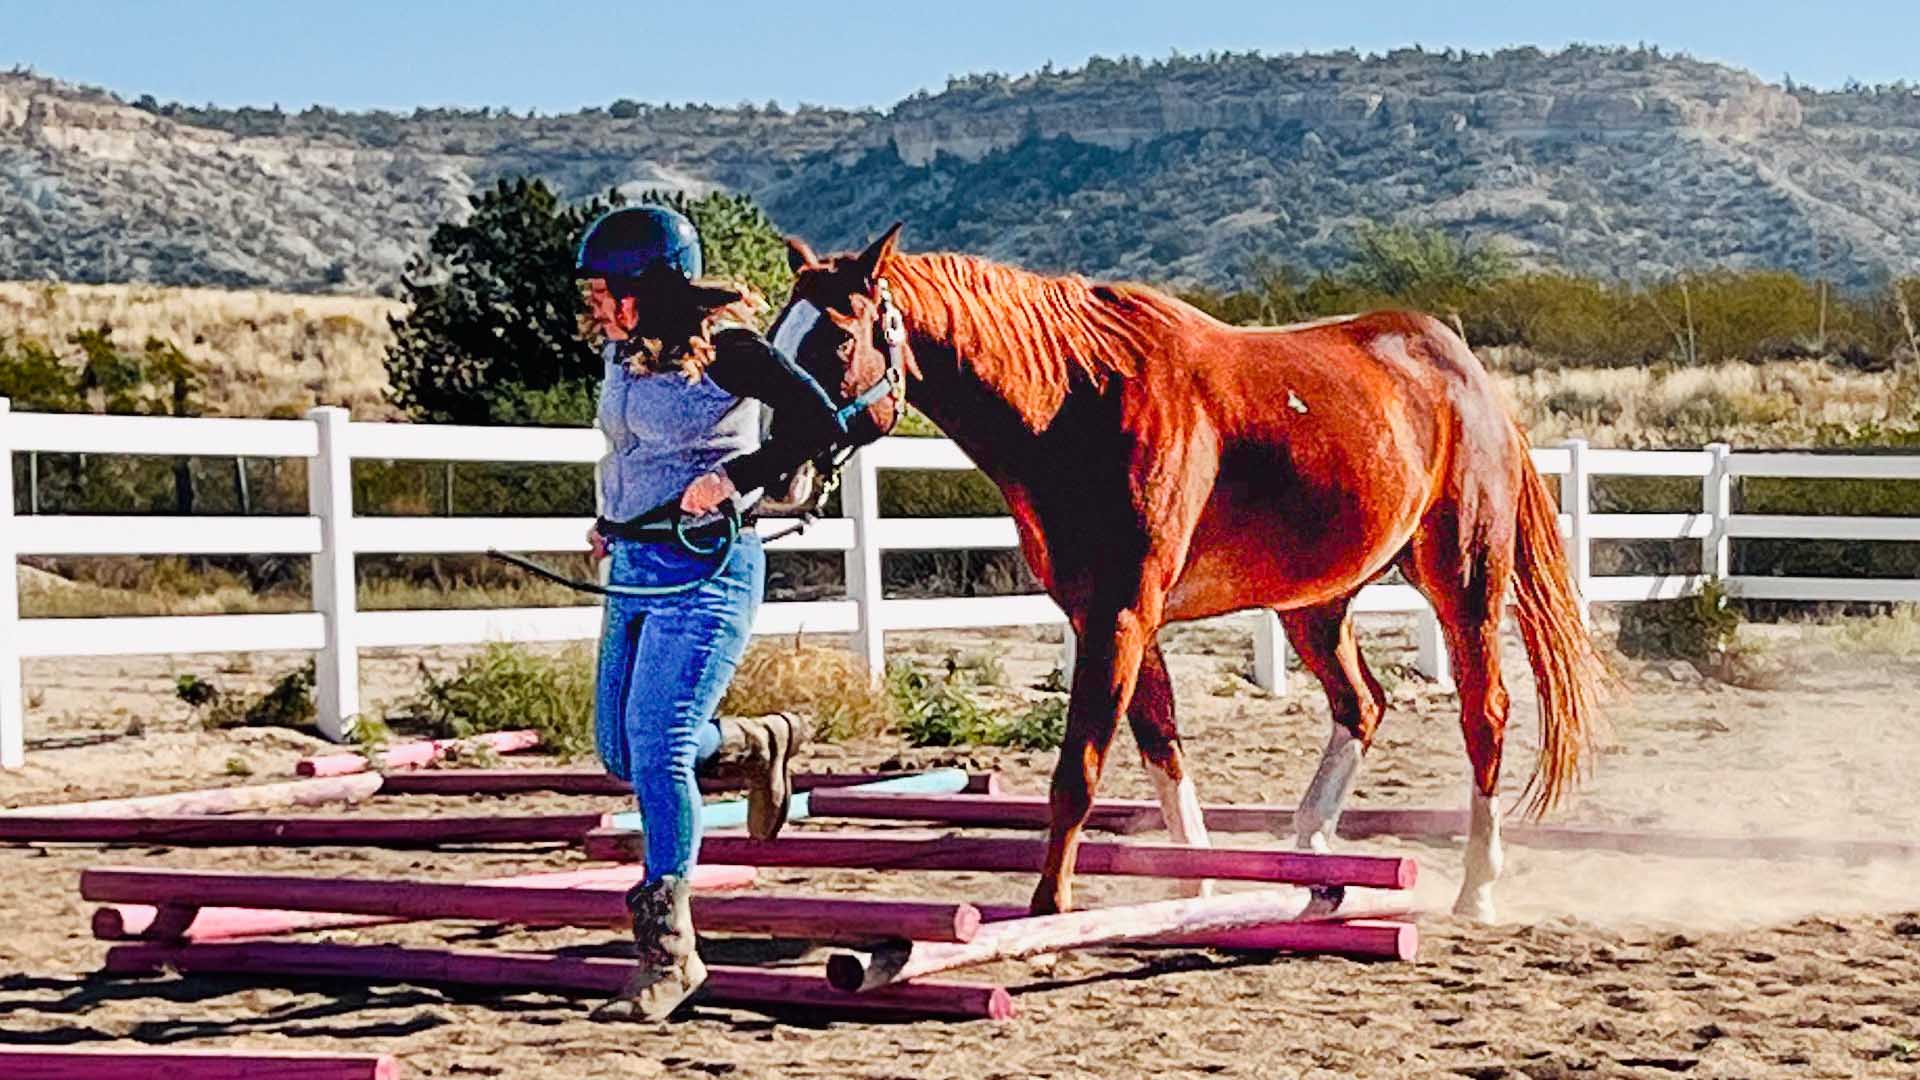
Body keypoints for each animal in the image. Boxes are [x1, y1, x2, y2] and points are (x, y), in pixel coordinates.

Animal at [764, 226, 1605, 914]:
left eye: (836, 341)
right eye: (775, 338)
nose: (777, 472)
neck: (1075, 400)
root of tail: (1470, 377)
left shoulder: (1121, 614)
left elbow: (1079, 769)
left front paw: (1050, 907)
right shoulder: (1110, 617)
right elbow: (1161, 748)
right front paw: (1193, 884)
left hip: (1463, 580)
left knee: (1484, 715)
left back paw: (1475, 888)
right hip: (1316, 606)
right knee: (1362, 705)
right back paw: (1311, 859)